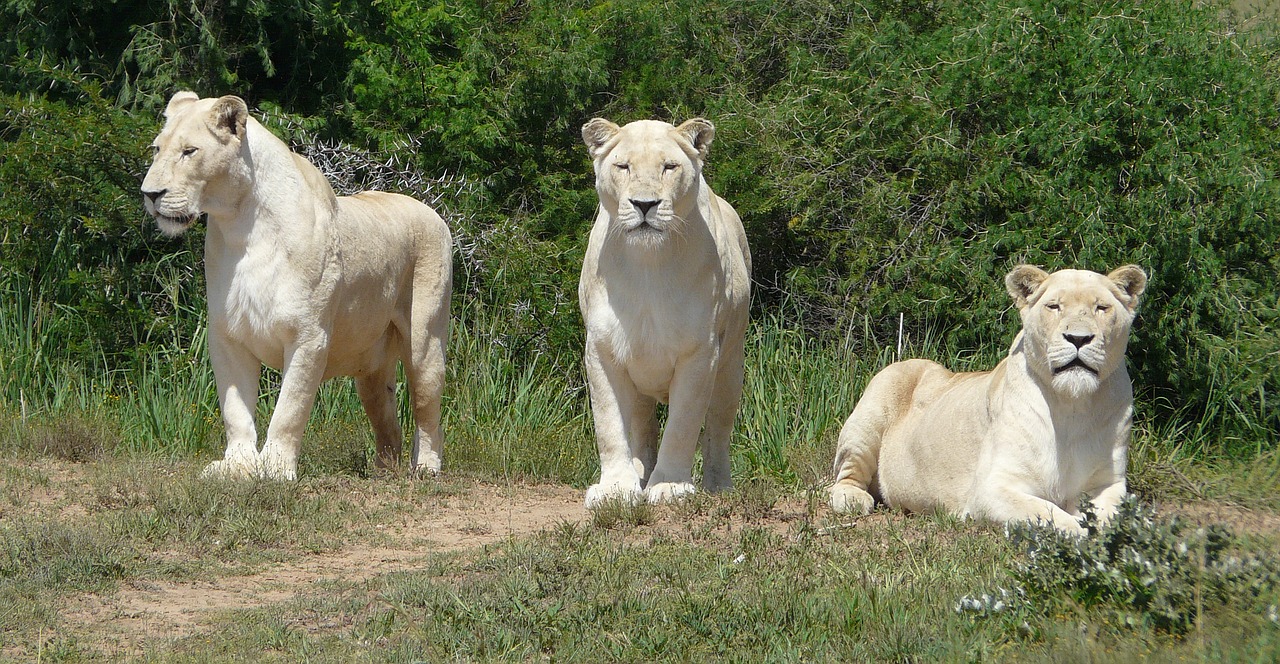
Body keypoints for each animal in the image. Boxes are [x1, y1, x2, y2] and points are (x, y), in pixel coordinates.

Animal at [142, 90, 453, 481]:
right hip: (370, 368)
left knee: (428, 410)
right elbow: (235, 408)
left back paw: (426, 467)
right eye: (157, 149)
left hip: (425, 341)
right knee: (387, 419)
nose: (150, 193)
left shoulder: (309, 335)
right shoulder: (227, 335)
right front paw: (237, 466)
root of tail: (431, 211)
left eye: (189, 151)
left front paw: (275, 468)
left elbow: (290, 407)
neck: (241, 226)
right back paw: (384, 470)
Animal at [581, 117, 747, 506]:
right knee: (642, 426)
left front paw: (669, 486)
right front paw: (616, 489)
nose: (645, 205)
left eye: (669, 167)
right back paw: (640, 474)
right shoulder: (601, 350)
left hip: (731, 367)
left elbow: (683, 424)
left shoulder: (700, 352)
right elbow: (609, 422)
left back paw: (719, 486)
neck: (648, 263)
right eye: (623, 166)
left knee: (718, 429)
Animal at [829, 264, 1152, 534]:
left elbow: (1111, 517)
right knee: (845, 476)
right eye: (1054, 306)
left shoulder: (1108, 484)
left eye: (1101, 308)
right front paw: (1079, 533)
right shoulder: (991, 489)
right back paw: (852, 499)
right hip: (872, 412)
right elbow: (1048, 513)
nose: (1079, 338)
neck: (1072, 404)